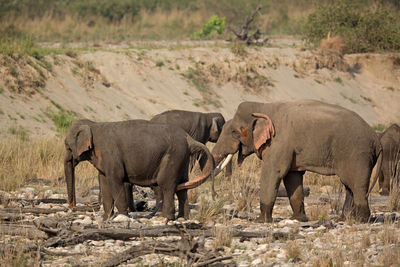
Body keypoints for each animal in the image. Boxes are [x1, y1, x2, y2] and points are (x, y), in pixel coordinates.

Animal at [65, 120, 216, 221]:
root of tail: (189, 138)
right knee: (182, 186)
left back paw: (166, 218)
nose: (74, 208)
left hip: (173, 156)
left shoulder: (111, 154)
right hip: (182, 159)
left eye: (67, 146)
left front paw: (122, 217)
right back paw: (183, 218)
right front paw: (107, 218)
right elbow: (104, 181)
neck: (94, 125)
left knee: (167, 185)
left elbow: (115, 180)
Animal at [209, 99, 382, 223]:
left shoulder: (279, 141)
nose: (215, 196)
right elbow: (292, 177)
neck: (263, 107)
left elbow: (274, 172)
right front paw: (297, 219)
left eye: (234, 132)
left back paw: (361, 220)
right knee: (348, 186)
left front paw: (260, 221)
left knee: (356, 185)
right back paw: (344, 219)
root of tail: (377, 141)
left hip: (358, 154)